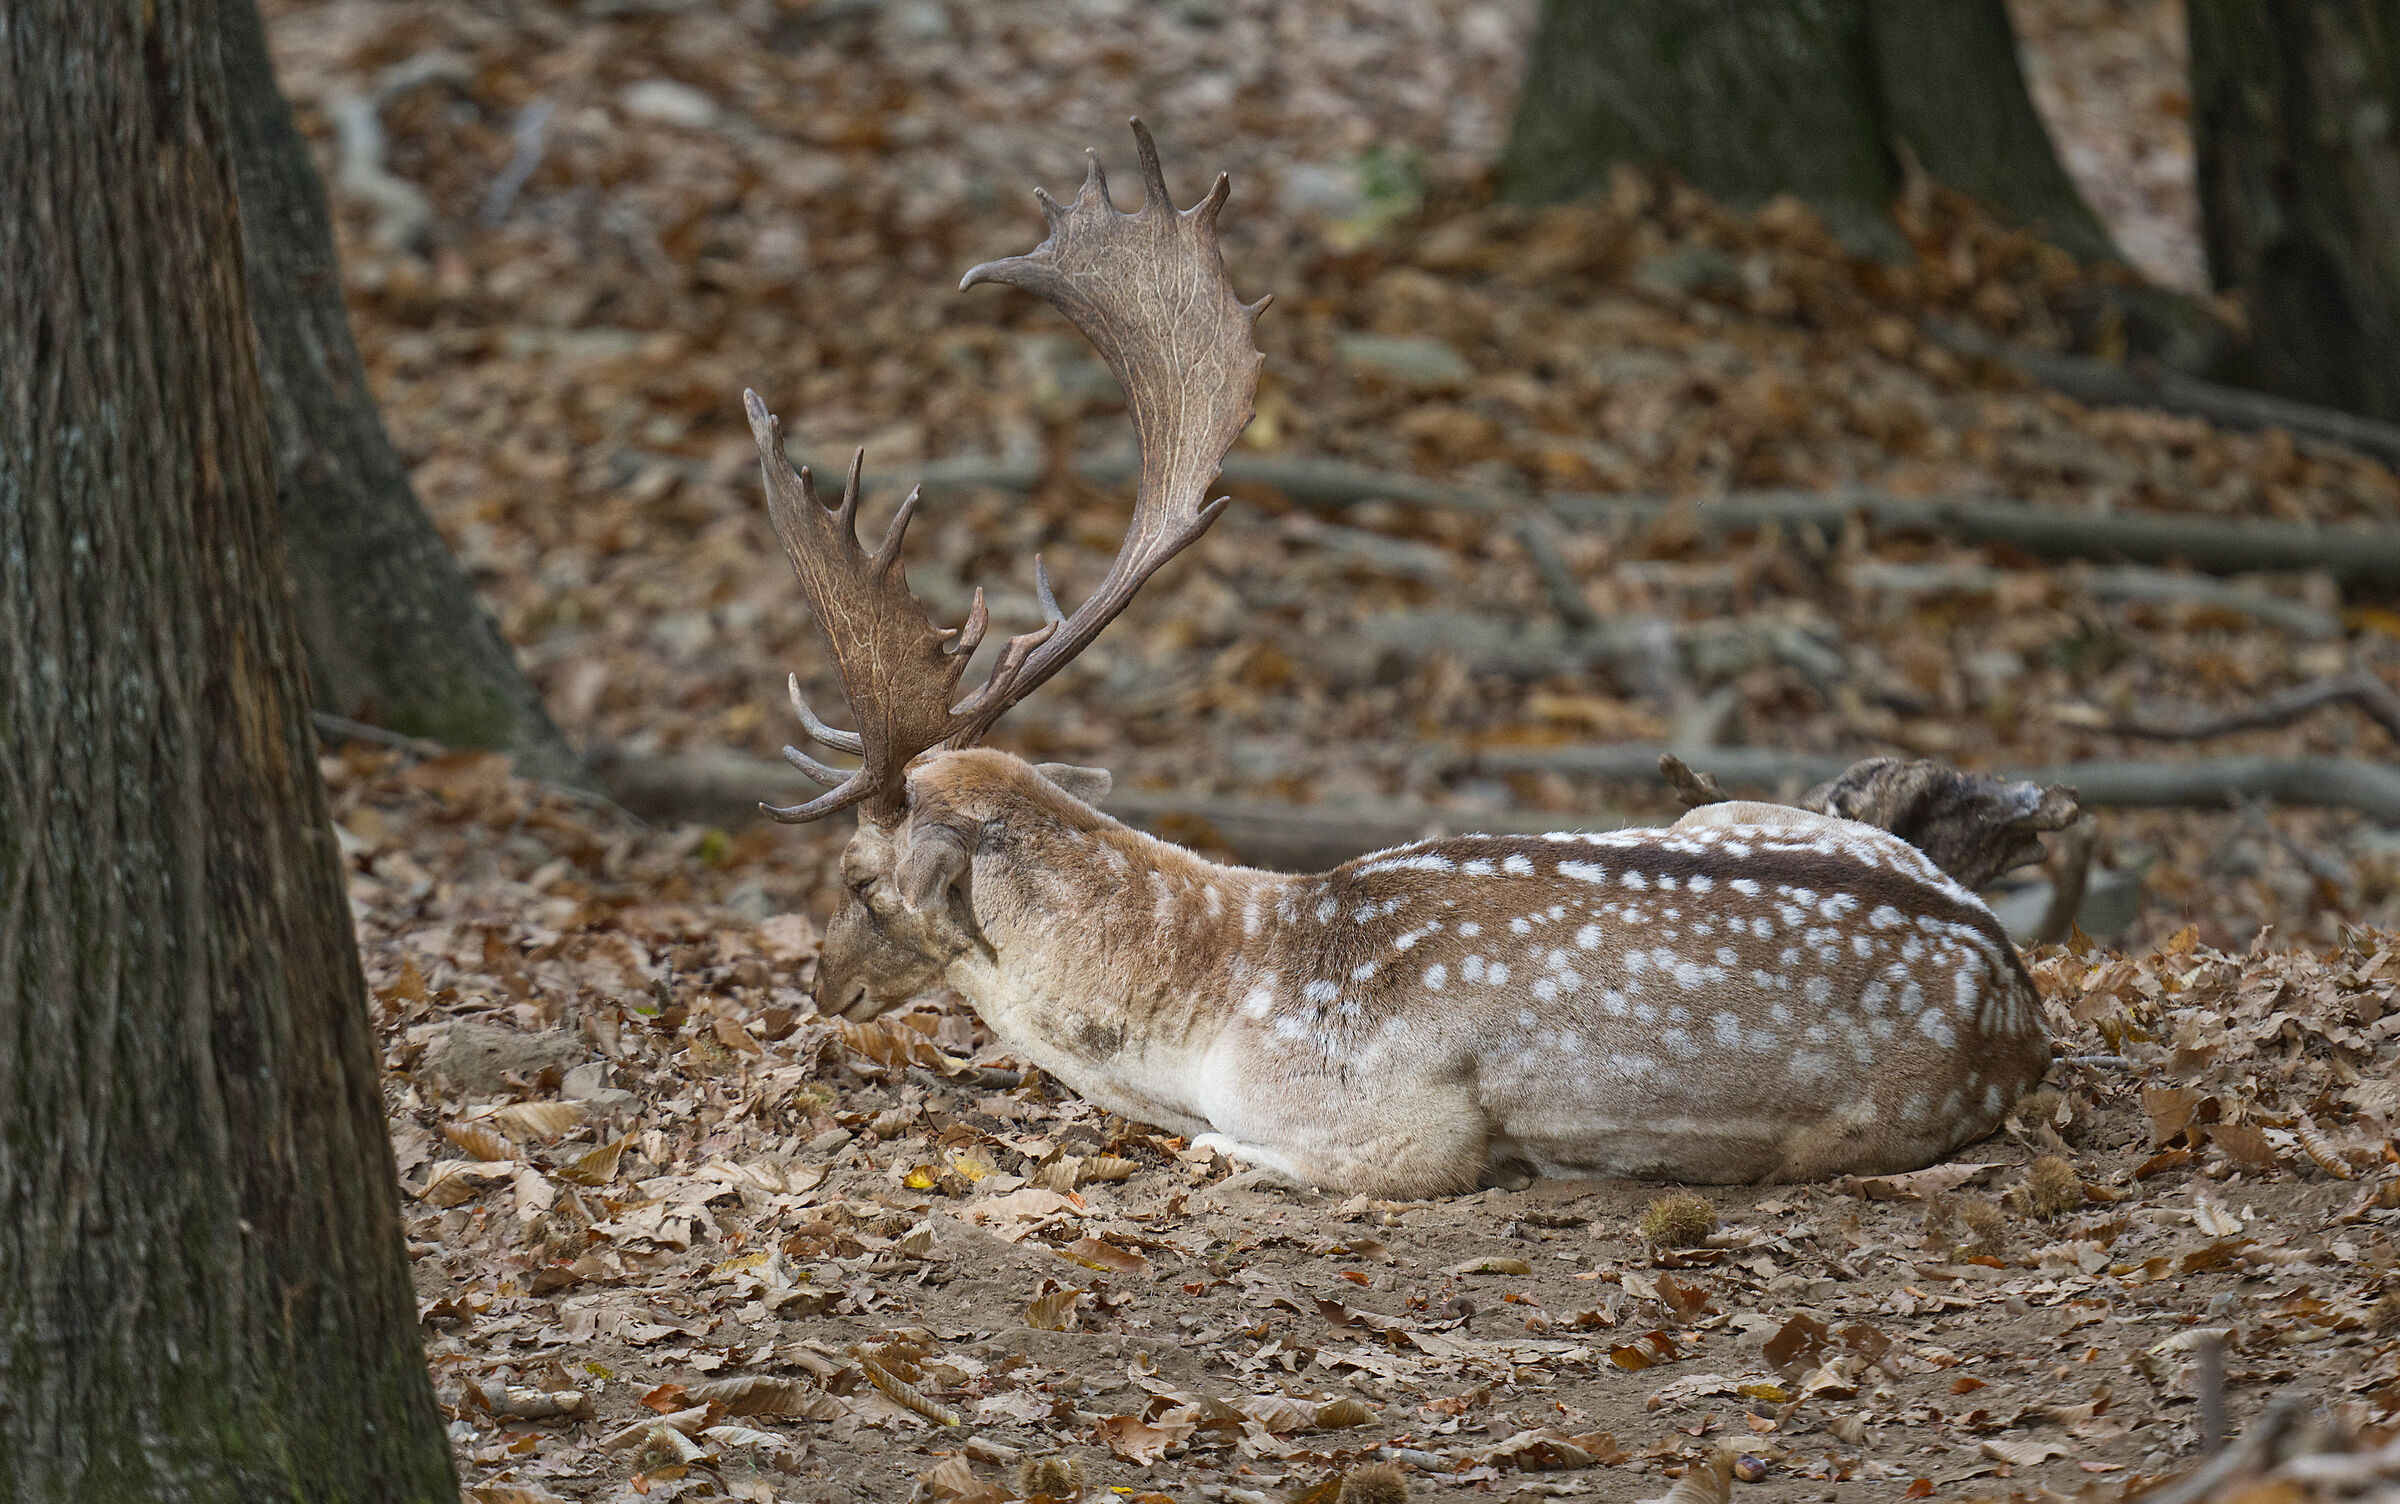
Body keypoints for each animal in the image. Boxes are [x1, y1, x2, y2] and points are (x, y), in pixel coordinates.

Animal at [742, 121, 2051, 1198]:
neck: (1227, 992)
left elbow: (1226, 1147)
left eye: (859, 880)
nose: (820, 987)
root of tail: (2022, 991)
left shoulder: (1391, 1134)